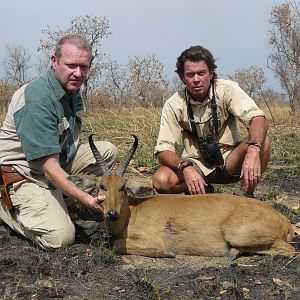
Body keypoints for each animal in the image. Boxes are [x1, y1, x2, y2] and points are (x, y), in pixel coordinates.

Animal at [68, 135, 296, 258]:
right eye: (102, 186)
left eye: (123, 187)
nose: (112, 214)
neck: (133, 211)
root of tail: (283, 219)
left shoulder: (151, 239)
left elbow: (117, 245)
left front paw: (166, 253)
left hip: (237, 235)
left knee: (290, 250)